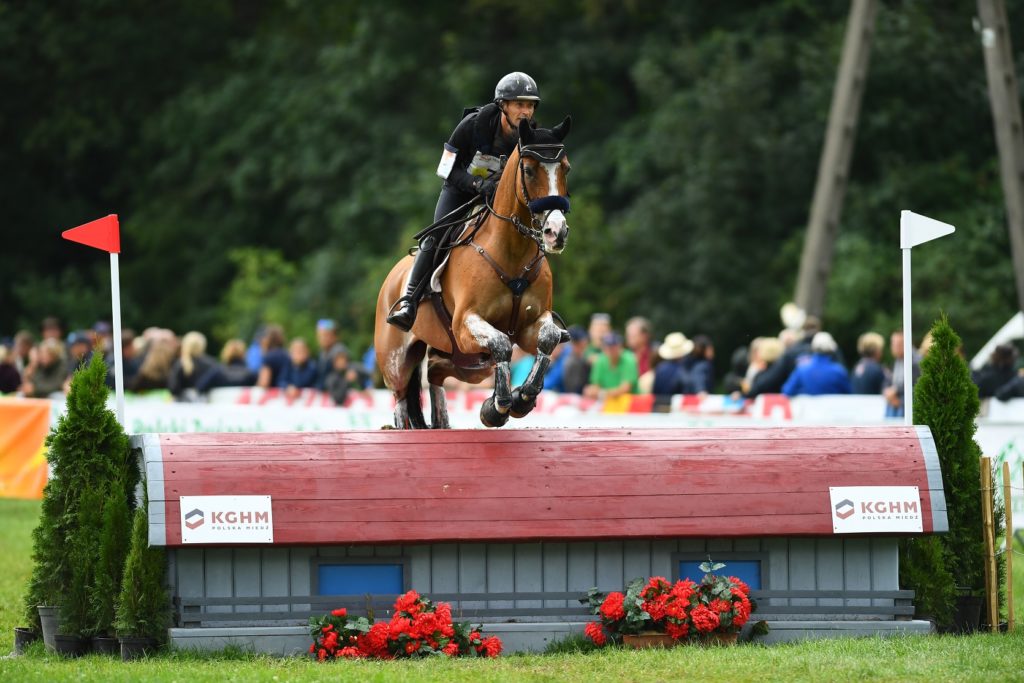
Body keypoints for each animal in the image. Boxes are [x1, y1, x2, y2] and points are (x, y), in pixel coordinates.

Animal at [376, 116, 573, 428]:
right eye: (529, 171)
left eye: (565, 168)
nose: (557, 232)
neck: (512, 252)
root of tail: (391, 279)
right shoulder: (466, 323)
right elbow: (502, 344)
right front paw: (498, 406)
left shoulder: (532, 323)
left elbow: (548, 339)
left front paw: (522, 398)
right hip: (398, 360)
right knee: (401, 397)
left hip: (466, 362)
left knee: (435, 371)